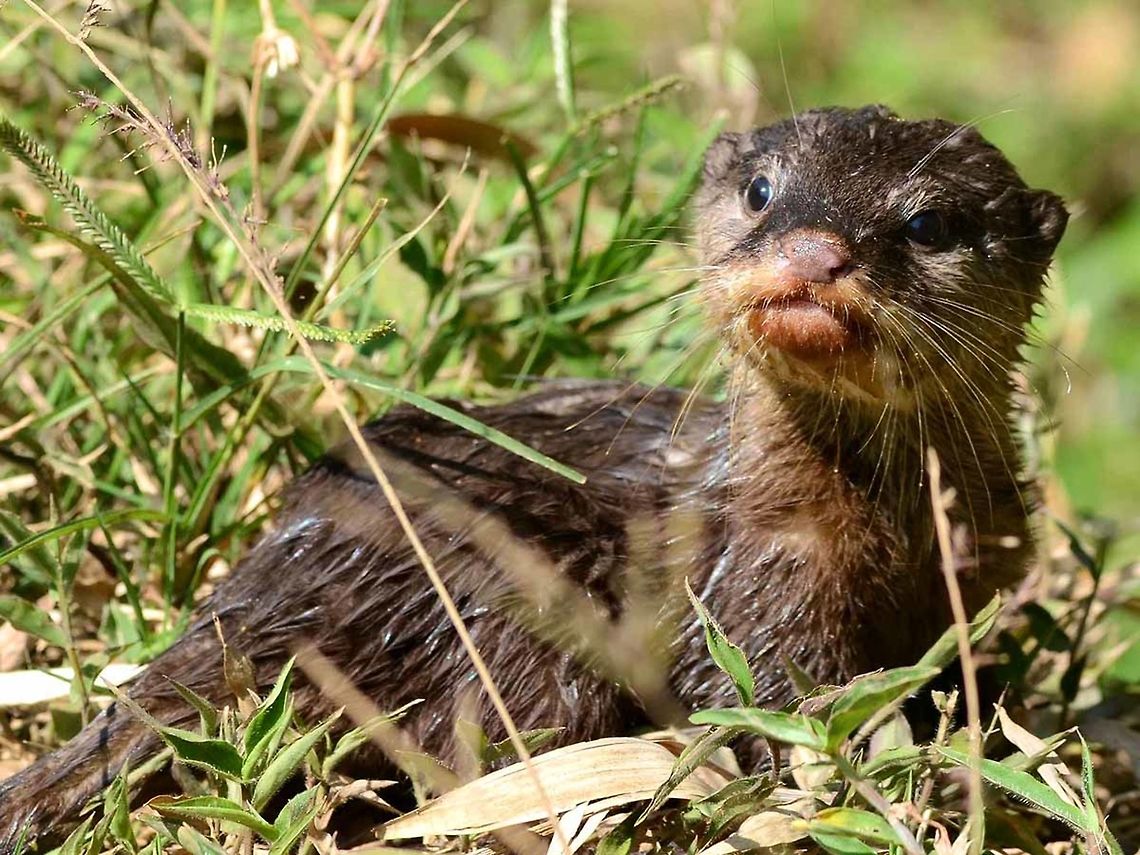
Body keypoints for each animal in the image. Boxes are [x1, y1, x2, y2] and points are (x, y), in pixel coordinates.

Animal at [0, 105, 1067, 848]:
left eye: (927, 223)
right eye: (764, 191)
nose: (814, 248)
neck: (886, 532)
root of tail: (265, 594)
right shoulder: (755, 586)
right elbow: (761, 699)